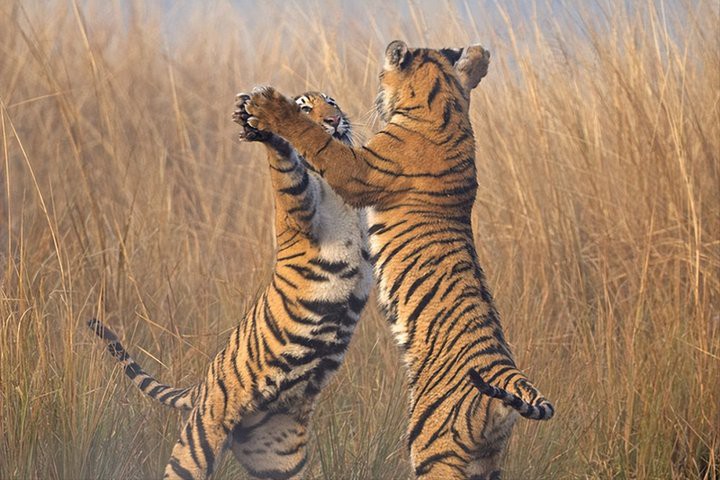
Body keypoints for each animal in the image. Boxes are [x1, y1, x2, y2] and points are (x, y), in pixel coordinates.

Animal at [88, 91, 372, 480]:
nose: (333, 120)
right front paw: (262, 126)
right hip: (197, 443)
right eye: (303, 107)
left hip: (278, 458)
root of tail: (201, 386)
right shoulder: (301, 215)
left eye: (331, 102)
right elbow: (287, 171)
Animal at [235, 41, 554, 479]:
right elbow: (466, 75)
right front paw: (477, 57)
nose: (350, 111)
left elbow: (316, 141)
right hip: (485, 461)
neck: (445, 107)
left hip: (434, 446)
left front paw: (270, 106)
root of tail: (509, 379)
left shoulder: (356, 168)